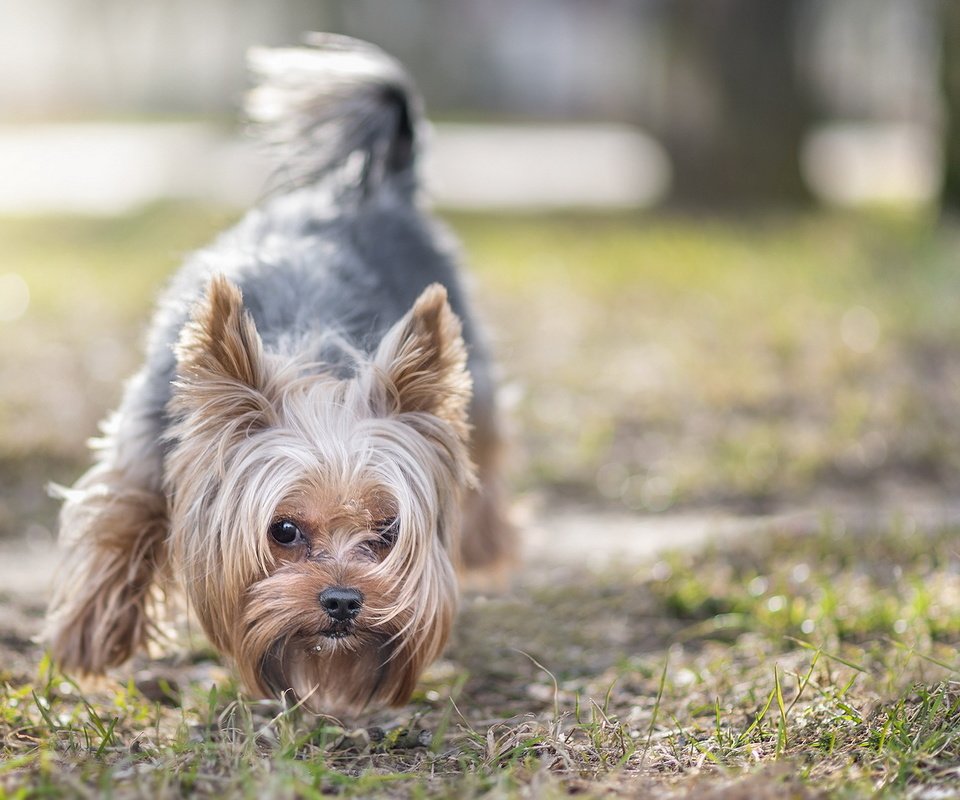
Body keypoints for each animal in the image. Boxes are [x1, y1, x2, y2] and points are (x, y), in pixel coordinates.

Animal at [42, 34, 512, 716]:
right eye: (283, 530)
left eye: (388, 530)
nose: (343, 600)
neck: (311, 363)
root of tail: (371, 188)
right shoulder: (149, 435)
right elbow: (121, 516)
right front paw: (90, 637)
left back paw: (487, 544)